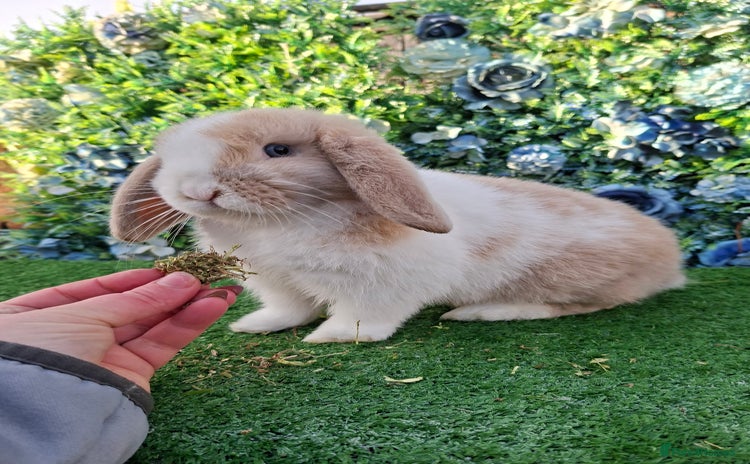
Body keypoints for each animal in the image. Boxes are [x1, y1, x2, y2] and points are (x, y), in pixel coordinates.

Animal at [110, 108, 686, 343]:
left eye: (277, 150)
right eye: (168, 156)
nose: (194, 189)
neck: (274, 226)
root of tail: (670, 256)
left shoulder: (378, 285)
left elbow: (363, 319)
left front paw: (331, 338)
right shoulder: (279, 284)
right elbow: (287, 310)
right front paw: (255, 326)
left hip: (571, 279)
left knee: (579, 305)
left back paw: (483, 311)